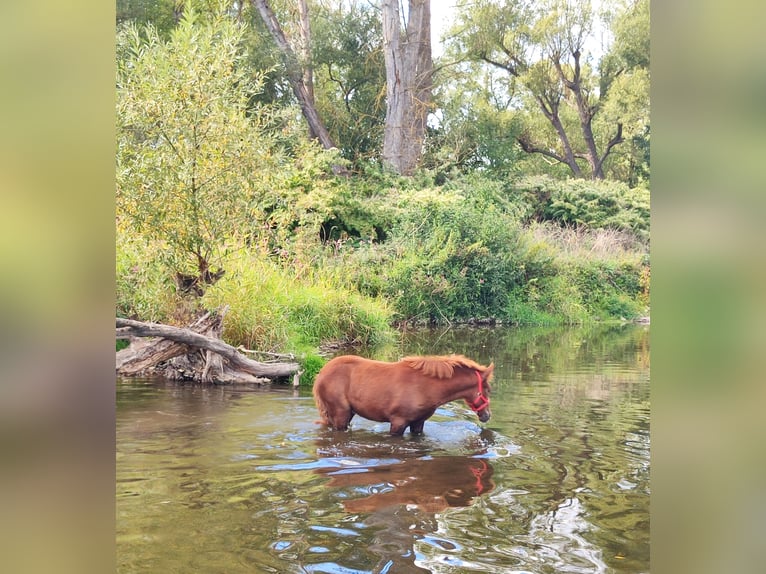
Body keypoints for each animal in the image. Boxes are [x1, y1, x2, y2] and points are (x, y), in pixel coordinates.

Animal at [313, 354, 494, 435]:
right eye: (488, 389)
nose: (487, 415)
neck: (426, 386)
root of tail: (321, 374)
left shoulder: (418, 423)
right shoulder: (398, 422)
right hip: (340, 415)